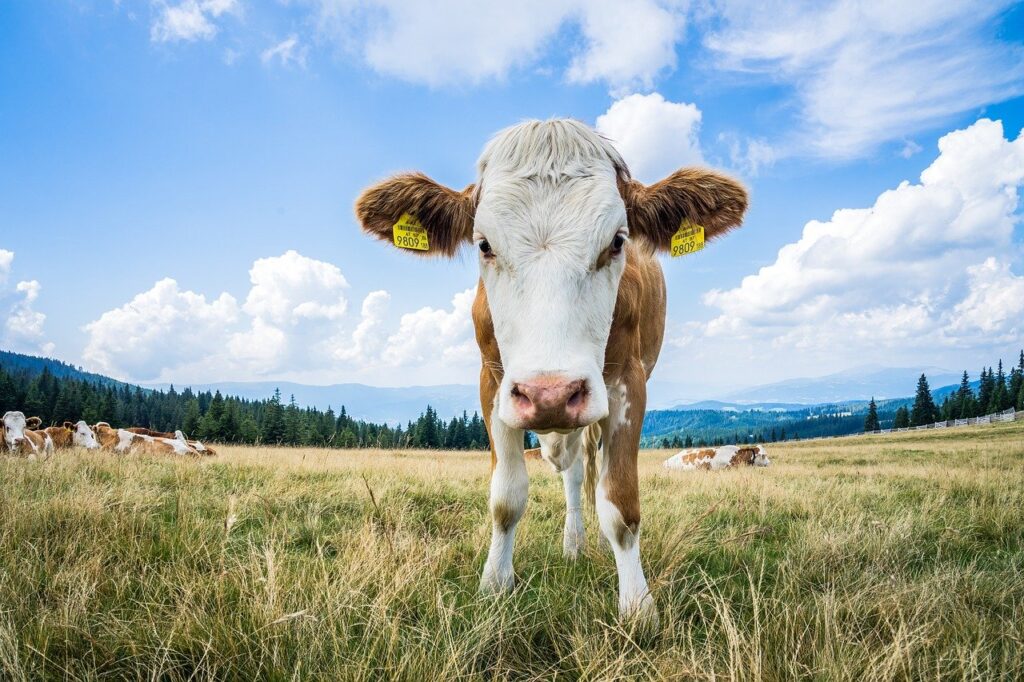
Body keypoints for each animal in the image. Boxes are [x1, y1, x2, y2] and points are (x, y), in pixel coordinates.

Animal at [355, 118, 747, 624]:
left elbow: (621, 504)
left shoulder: (628, 385)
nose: (551, 394)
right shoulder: (494, 383)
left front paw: (637, 607)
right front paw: (495, 585)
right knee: (574, 474)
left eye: (617, 241)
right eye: (484, 244)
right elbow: (506, 498)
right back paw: (574, 544)